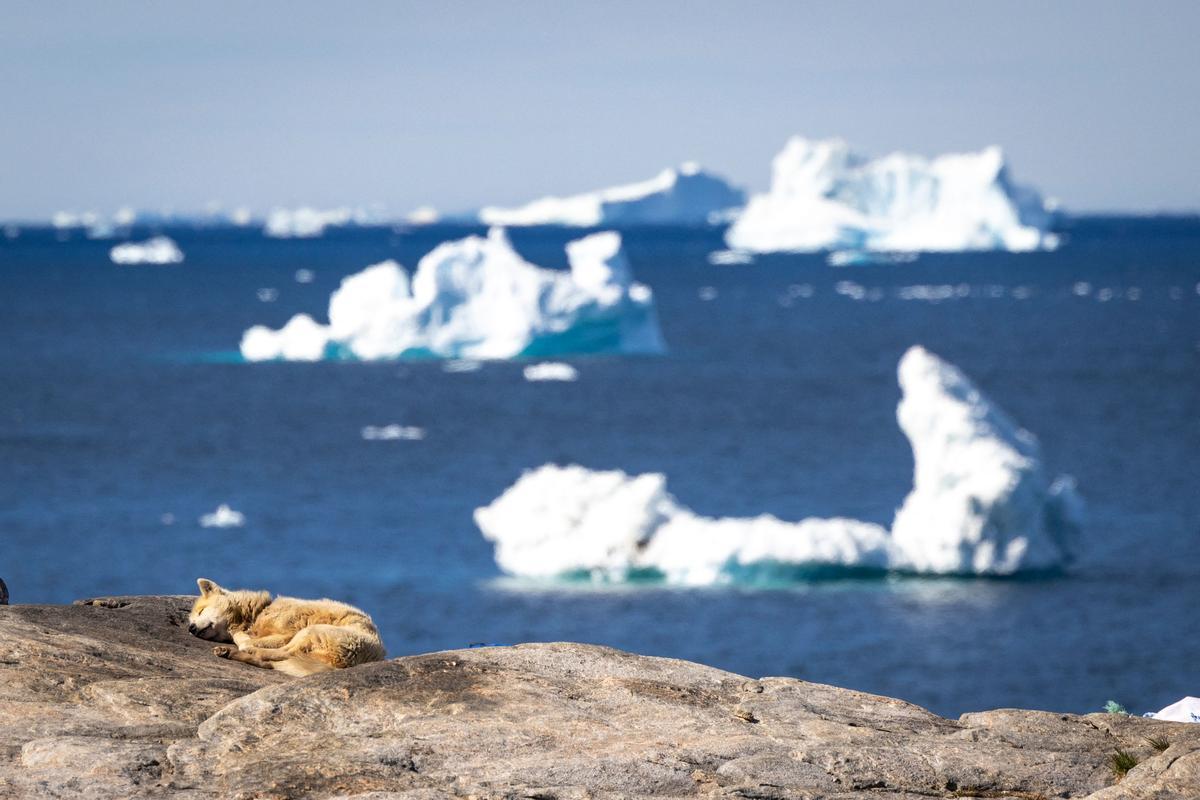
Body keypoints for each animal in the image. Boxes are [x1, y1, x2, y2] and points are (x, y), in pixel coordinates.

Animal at [186, 578, 384, 681]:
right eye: (192, 619)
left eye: (201, 611)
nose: (191, 628)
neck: (257, 613)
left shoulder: (287, 633)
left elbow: (244, 638)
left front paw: (244, 640)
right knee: (271, 662)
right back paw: (228, 652)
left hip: (312, 631)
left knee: (281, 653)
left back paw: (243, 651)